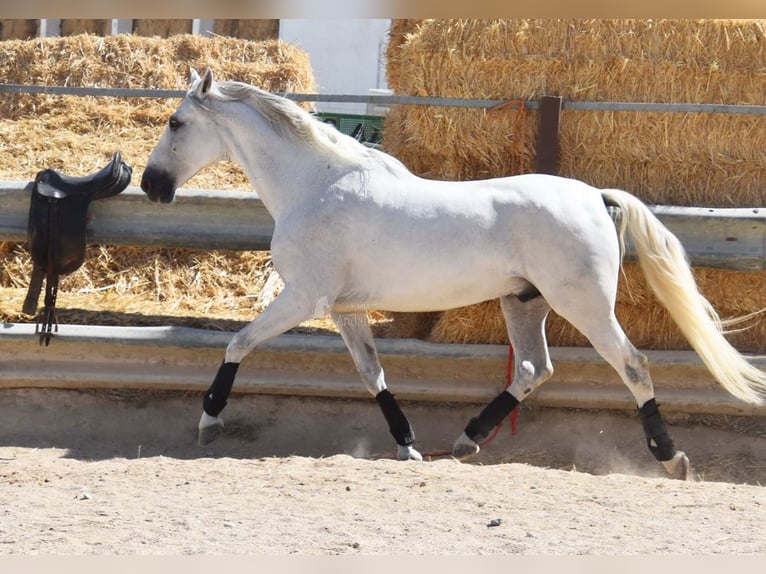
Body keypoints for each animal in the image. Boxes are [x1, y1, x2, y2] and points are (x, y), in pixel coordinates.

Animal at [141, 68, 766, 480]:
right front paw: (408, 446)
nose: (150, 186)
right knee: (535, 368)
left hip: (582, 304)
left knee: (632, 365)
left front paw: (209, 423)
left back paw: (671, 458)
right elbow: (372, 376)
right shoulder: (345, 311)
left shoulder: (305, 299)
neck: (316, 186)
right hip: (524, 302)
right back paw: (467, 440)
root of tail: (594, 195)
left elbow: (238, 345)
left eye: (175, 122)